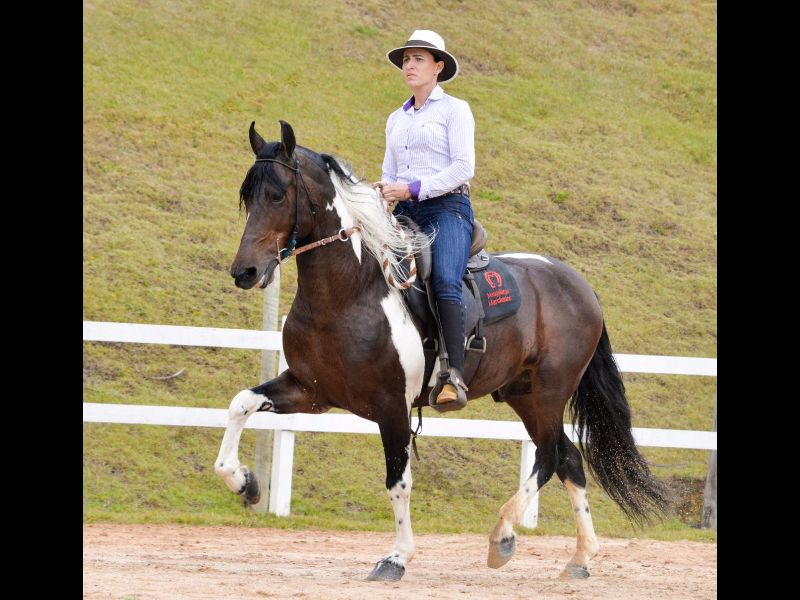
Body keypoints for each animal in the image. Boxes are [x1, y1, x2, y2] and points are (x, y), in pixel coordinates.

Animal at [214, 120, 669, 582]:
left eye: (277, 194)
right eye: (247, 196)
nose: (245, 271)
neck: (351, 293)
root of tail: (579, 284)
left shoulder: (391, 406)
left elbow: (398, 482)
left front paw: (396, 558)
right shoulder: (311, 391)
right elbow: (240, 403)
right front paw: (244, 482)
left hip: (550, 391)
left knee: (549, 454)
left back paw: (503, 537)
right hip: (523, 394)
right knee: (569, 459)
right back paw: (579, 558)